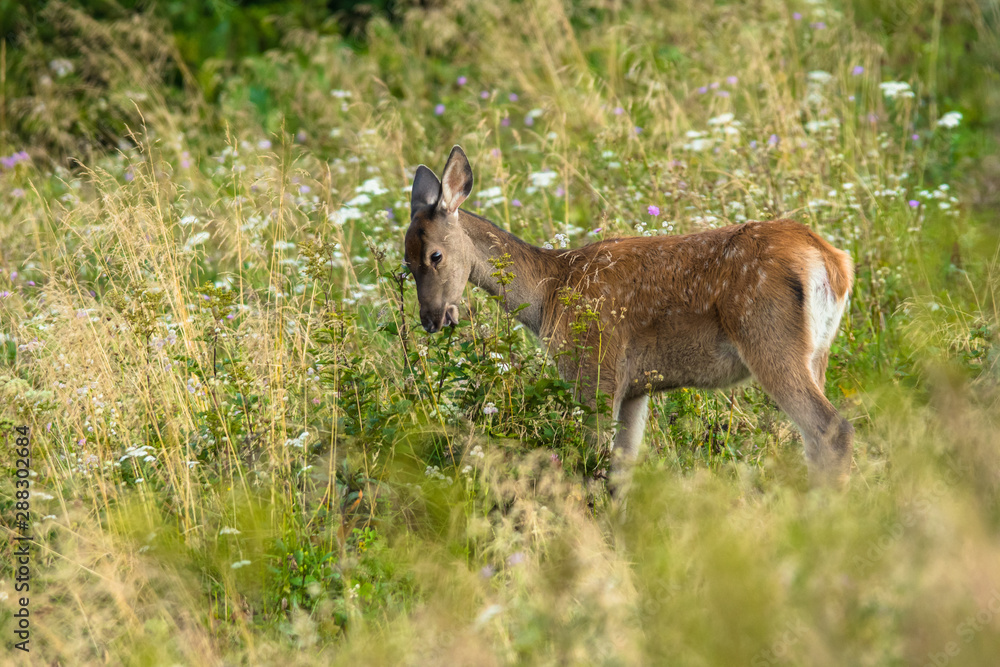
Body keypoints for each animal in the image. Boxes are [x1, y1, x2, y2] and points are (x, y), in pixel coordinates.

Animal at [404, 145, 854, 496]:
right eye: (406, 262)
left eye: (435, 255)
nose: (431, 319)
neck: (548, 296)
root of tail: (833, 263)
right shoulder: (638, 386)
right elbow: (622, 471)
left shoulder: (595, 366)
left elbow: (593, 465)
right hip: (818, 351)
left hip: (769, 337)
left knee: (830, 428)